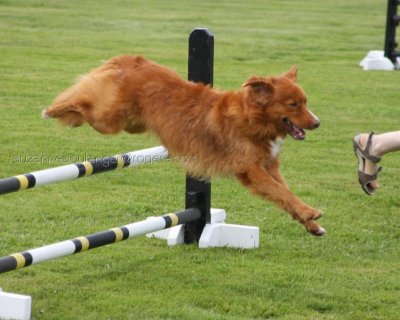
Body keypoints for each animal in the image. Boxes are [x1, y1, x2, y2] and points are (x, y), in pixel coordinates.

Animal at [43, 54, 324, 235]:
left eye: (306, 102)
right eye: (293, 104)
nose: (317, 122)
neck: (251, 117)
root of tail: (133, 59)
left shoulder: (269, 167)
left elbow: (285, 194)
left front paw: (311, 224)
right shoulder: (251, 170)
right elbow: (282, 193)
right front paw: (311, 212)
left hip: (131, 123)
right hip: (109, 120)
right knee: (84, 103)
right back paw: (54, 110)